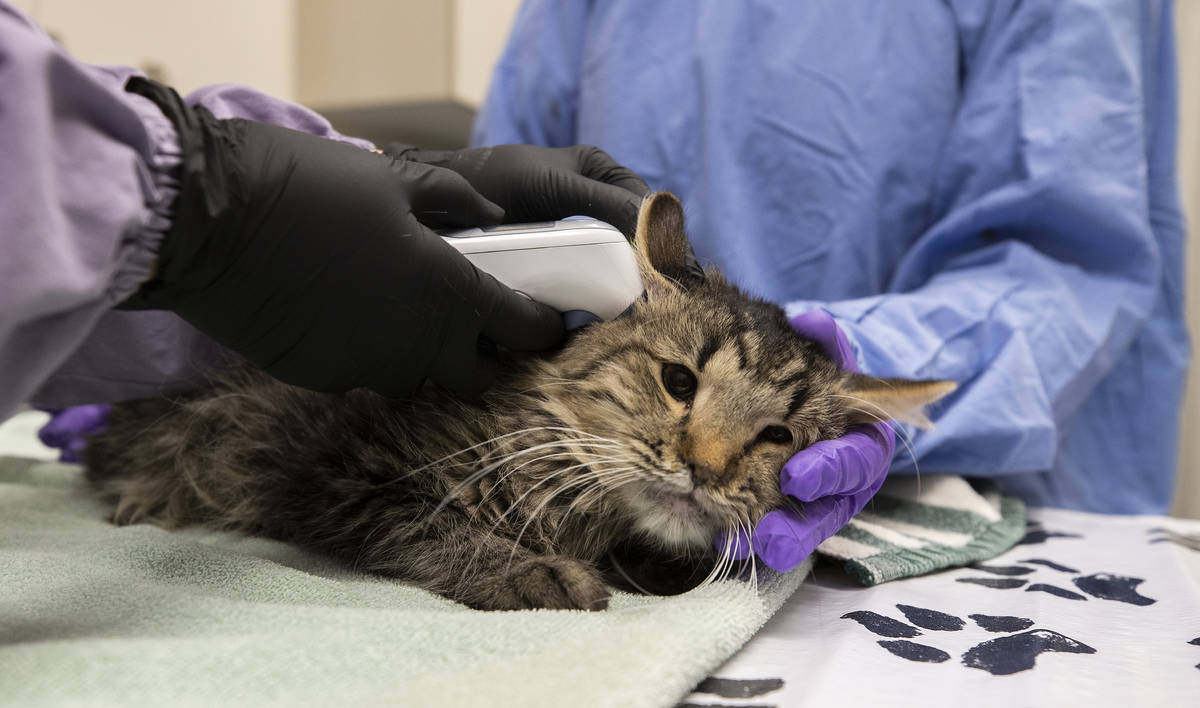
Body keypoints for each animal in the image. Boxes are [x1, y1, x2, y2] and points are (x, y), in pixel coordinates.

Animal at [82, 193, 955, 609]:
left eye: (776, 436)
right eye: (679, 383)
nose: (703, 470)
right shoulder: (338, 464)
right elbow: (432, 526)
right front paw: (533, 576)